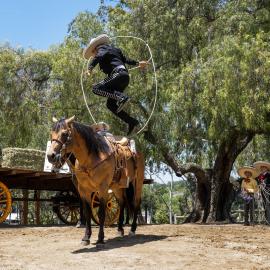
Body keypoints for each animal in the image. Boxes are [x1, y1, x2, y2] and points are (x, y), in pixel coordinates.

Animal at [48, 116, 146, 247]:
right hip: (118, 187)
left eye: (64, 133)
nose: (51, 156)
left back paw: (132, 229)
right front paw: (86, 237)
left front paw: (100, 238)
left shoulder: (102, 188)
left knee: (136, 203)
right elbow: (87, 212)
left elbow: (101, 213)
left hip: (137, 183)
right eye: (51, 133)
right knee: (122, 202)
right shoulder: (83, 190)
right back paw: (120, 230)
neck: (91, 158)